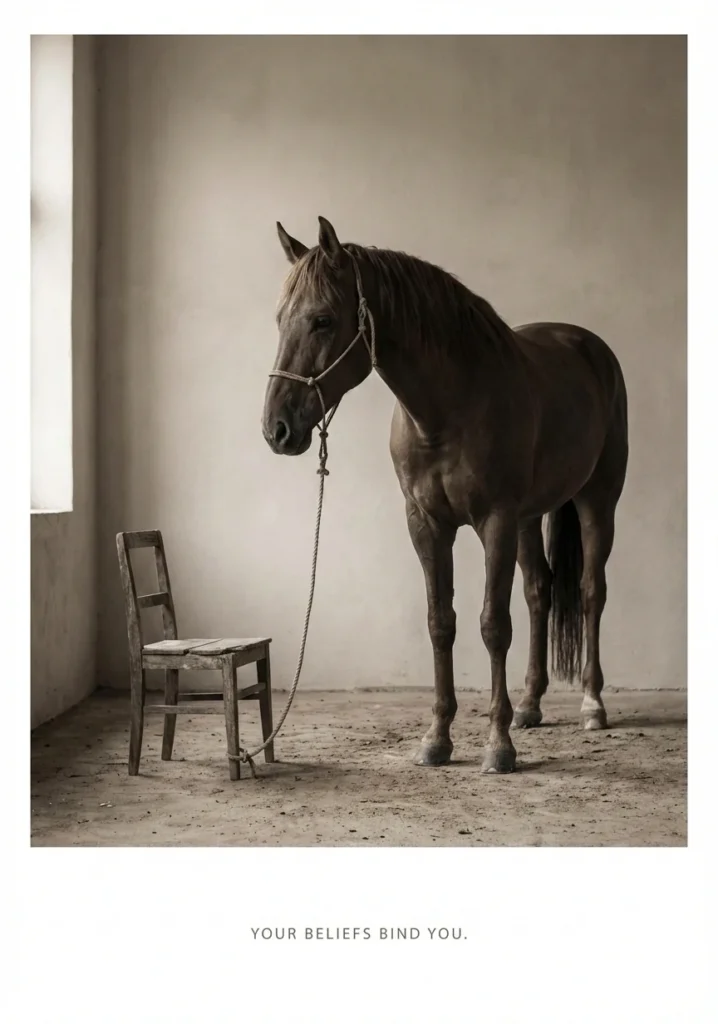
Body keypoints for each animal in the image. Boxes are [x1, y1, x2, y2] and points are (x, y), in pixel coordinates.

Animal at [262, 216, 628, 773]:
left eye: (322, 320)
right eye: (281, 318)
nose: (276, 428)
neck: (448, 408)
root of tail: (591, 348)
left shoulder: (495, 521)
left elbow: (493, 625)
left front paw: (498, 746)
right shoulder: (426, 523)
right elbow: (441, 623)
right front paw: (437, 738)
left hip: (596, 502)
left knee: (590, 592)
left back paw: (591, 705)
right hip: (529, 518)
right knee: (539, 592)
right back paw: (530, 705)